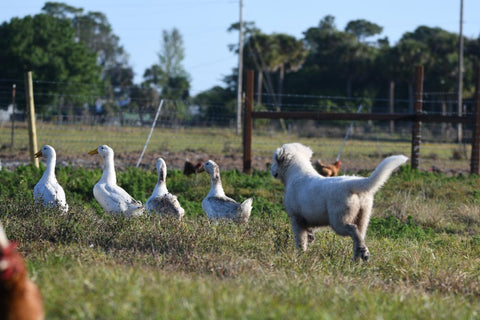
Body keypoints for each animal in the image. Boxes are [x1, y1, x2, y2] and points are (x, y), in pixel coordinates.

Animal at [272, 144, 406, 262]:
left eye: (275, 161)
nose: (271, 170)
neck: (296, 173)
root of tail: (352, 183)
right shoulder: (308, 219)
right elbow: (308, 234)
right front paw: (309, 240)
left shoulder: (296, 219)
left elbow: (300, 240)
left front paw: (300, 255)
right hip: (363, 217)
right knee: (359, 236)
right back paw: (357, 259)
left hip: (339, 220)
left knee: (353, 230)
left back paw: (364, 254)